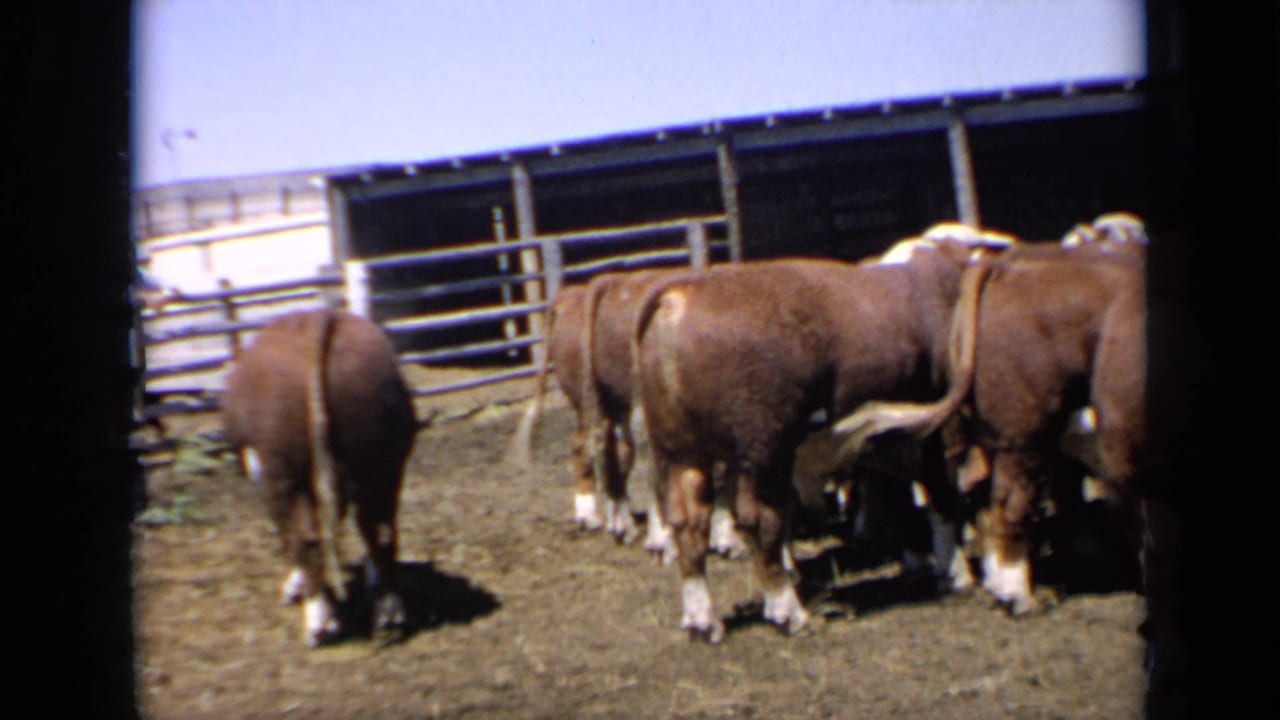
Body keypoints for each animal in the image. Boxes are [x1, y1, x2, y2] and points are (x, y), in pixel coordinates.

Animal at [222, 308, 416, 647]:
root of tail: (317, 320)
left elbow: (289, 535)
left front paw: (293, 585)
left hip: (287, 473)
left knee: (308, 536)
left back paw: (319, 622)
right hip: (382, 463)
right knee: (380, 529)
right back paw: (389, 613)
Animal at [631, 226, 1015, 642]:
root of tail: (680, 295)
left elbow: (896, 494)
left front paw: (918, 559)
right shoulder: (936, 427)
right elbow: (939, 498)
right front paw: (956, 571)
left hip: (681, 451)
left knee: (689, 523)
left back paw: (703, 620)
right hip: (762, 446)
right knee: (759, 521)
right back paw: (788, 611)